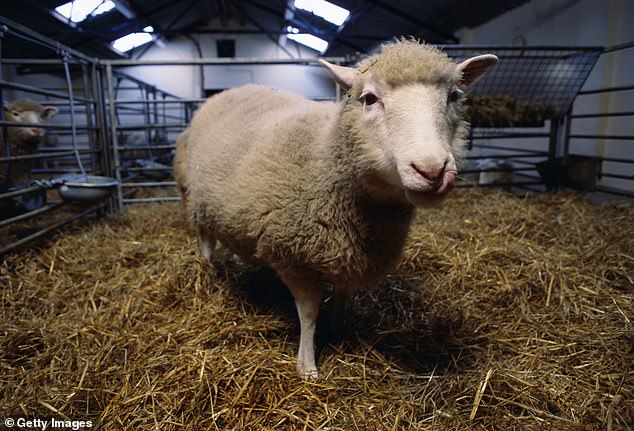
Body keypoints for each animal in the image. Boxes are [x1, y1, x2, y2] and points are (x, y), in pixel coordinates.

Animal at [177, 40, 494, 378]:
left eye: (454, 96)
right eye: (369, 98)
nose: (433, 170)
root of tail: (232, 90)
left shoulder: (350, 254)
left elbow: (342, 294)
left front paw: (338, 329)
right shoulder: (295, 260)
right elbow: (308, 313)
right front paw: (307, 366)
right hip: (197, 201)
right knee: (205, 243)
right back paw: (210, 274)